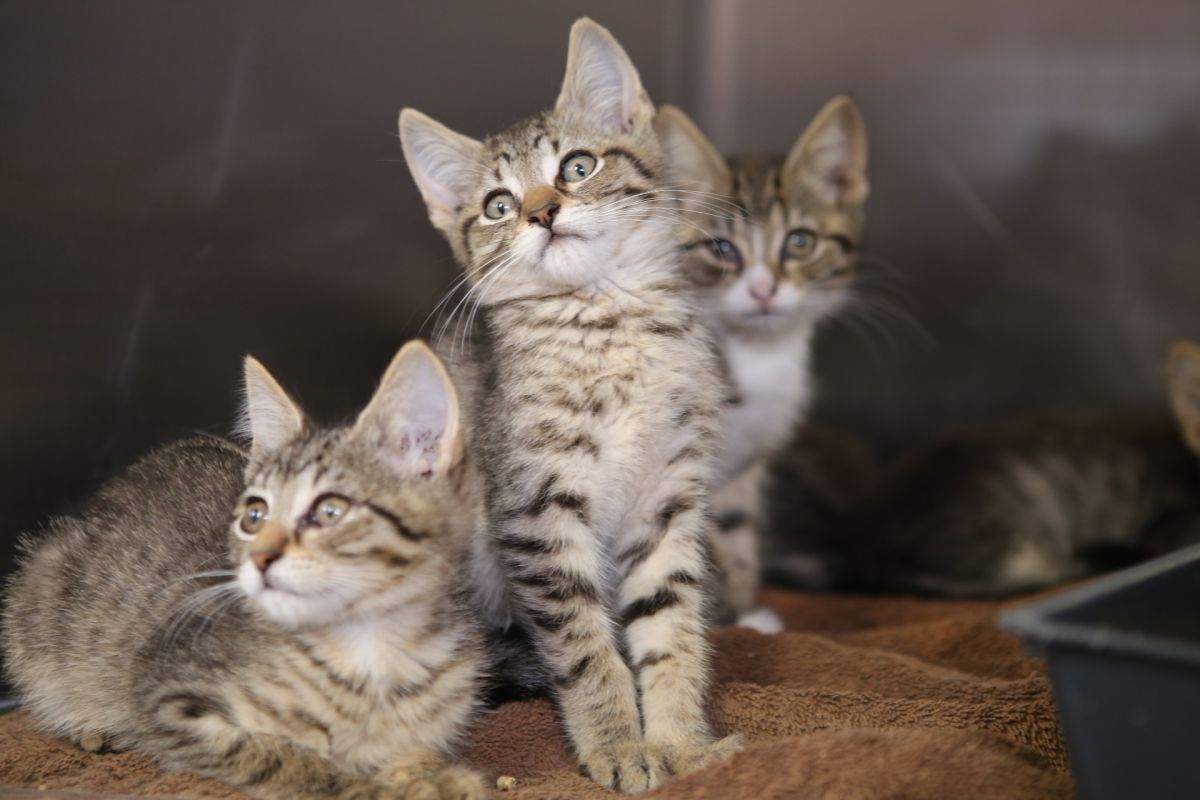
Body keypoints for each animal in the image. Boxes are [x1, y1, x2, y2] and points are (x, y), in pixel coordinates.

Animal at [398, 17, 734, 796]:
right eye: (497, 205)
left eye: (576, 167)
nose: (542, 212)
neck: (606, 324)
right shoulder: (535, 511)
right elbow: (586, 648)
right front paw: (618, 745)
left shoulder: (669, 500)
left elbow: (671, 628)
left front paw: (682, 743)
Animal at [652, 98, 868, 623]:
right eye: (721, 248)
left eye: (800, 242)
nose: (763, 290)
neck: (758, 354)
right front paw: (729, 613)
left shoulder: (744, 467)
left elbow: (735, 526)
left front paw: (746, 609)